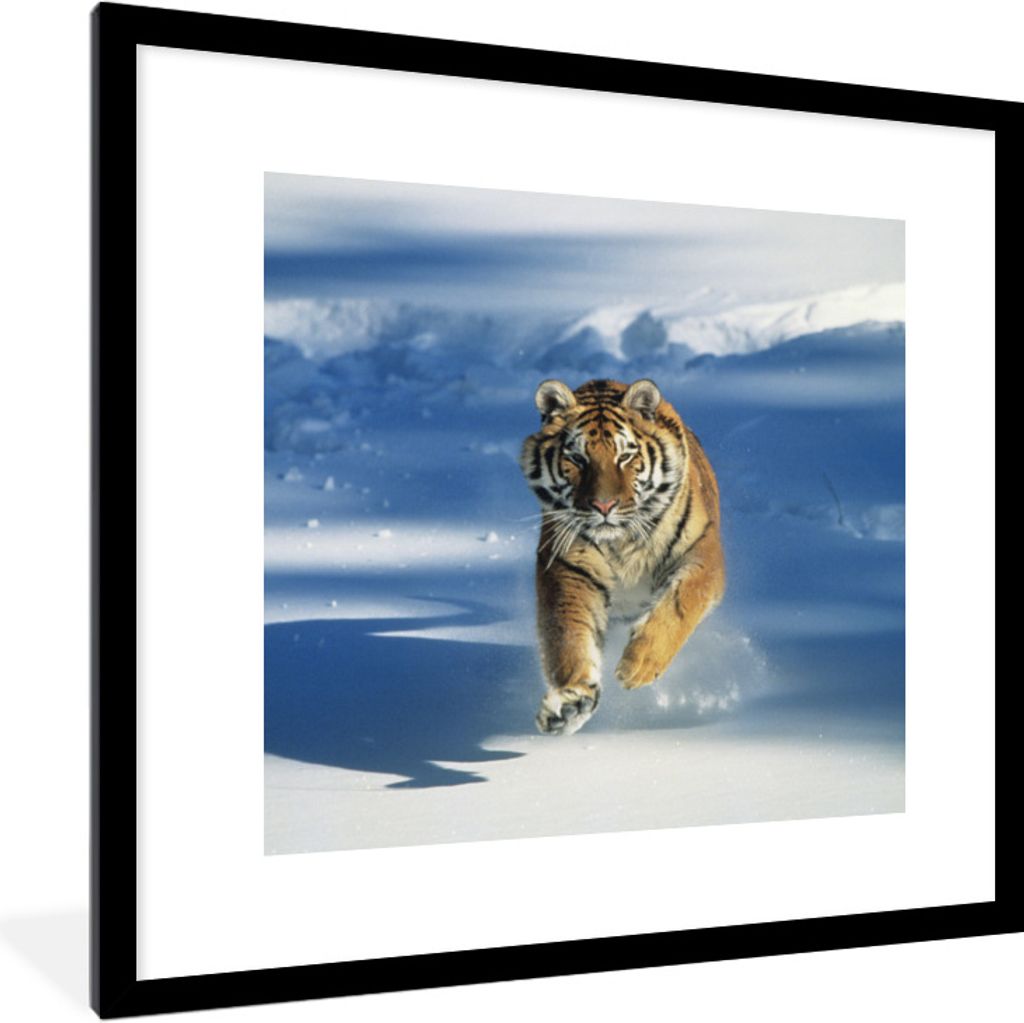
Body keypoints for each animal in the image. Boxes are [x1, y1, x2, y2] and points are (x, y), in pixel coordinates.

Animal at [519, 378, 726, 735]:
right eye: (578, 458)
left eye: (626, 456)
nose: (604, 506)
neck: (622, 542)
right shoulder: (569, 568)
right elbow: (568, 635)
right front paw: (570, 704)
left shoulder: (704, 554)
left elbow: (681, 604)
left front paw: (638, 665)